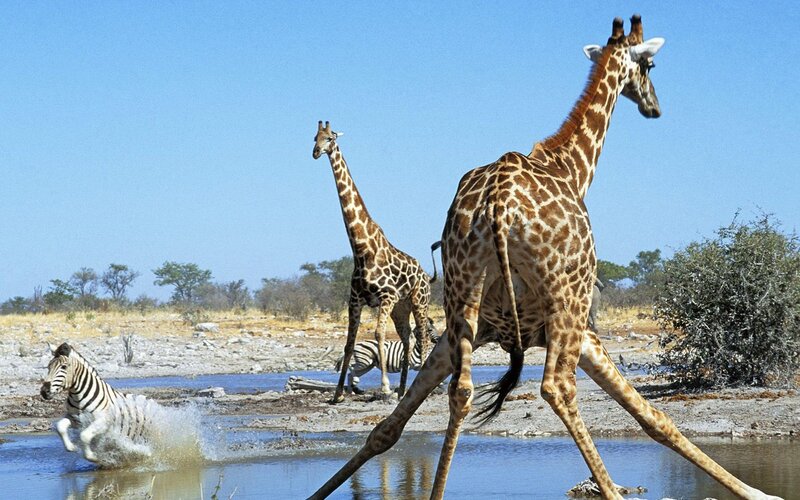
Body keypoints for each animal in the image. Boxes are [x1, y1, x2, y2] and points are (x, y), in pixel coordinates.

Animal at [312, 121, 434, 402]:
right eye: (314, 137)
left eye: (330, 138)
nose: (315, 152)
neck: (361, 248)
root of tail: (425, 274)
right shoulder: (355, 299)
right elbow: (349, 342)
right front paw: (338, 394)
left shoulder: (386, 297)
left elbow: (378, 334)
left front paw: (385, 387)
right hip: (401, 307)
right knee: (407, 337)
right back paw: (403, 390)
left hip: (419, 301)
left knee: (422, 335)